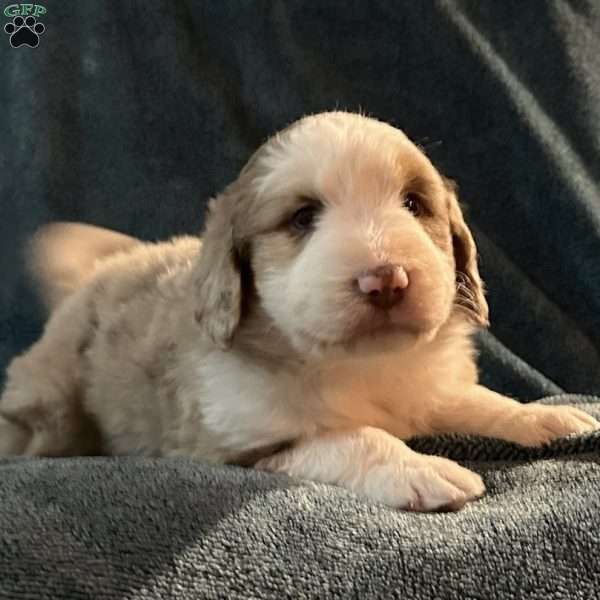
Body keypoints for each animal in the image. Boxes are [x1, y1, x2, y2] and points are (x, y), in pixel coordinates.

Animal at [2, 112, 596, 510]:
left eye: (413, 204)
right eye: (303, 217)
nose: (386, 278)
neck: (361, 365)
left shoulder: (428, 386)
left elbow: (481, 401)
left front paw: (546, 417)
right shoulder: (232, 444)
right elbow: (350, 437)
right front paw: (422, 469)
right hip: (51, 404)